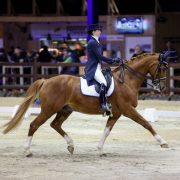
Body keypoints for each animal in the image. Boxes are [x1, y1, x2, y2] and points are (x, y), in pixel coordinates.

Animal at [2, 53, 169, 156]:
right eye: (161, 68)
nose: (162, 87)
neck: (127, 80)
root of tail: (46, 81)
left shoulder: (116, 113)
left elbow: (107, 130)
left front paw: (100, 150)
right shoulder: (128, 110)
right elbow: (146, 123)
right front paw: (163, 142)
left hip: (65, 110)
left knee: (55, 124)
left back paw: (71, 145)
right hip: (49, 109)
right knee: (34, 125)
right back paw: (27, 151)